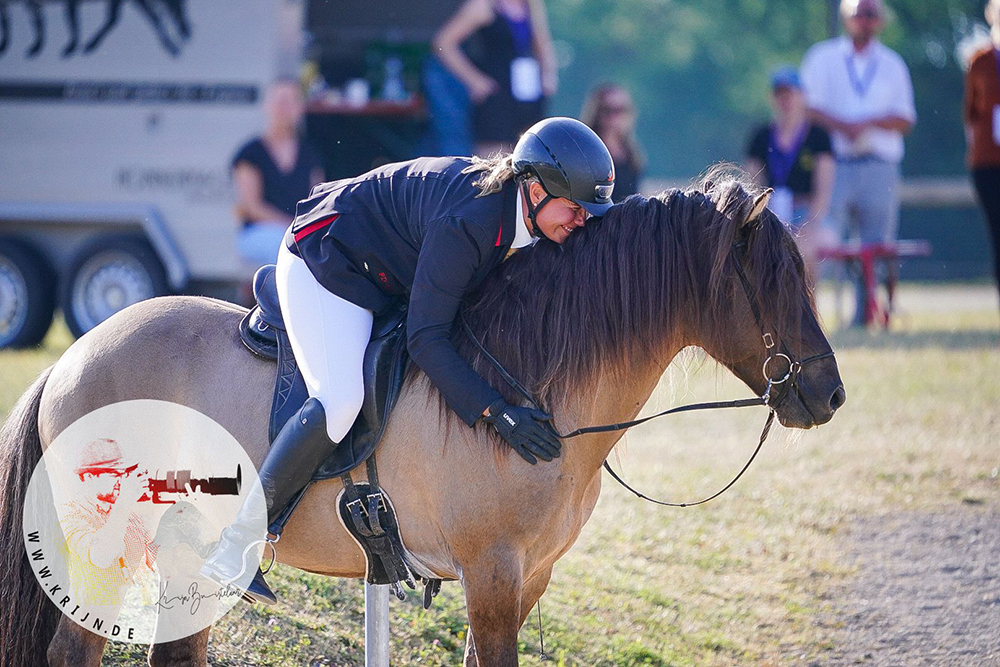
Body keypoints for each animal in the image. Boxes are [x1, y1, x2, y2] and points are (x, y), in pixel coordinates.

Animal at [0, 171, 844, 664]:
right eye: (769, 282)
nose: (829, 395)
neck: (525, 387)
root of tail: (72, 357)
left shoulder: (527, 577)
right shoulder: (491, 572)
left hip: (182, 554)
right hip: (110, 552)